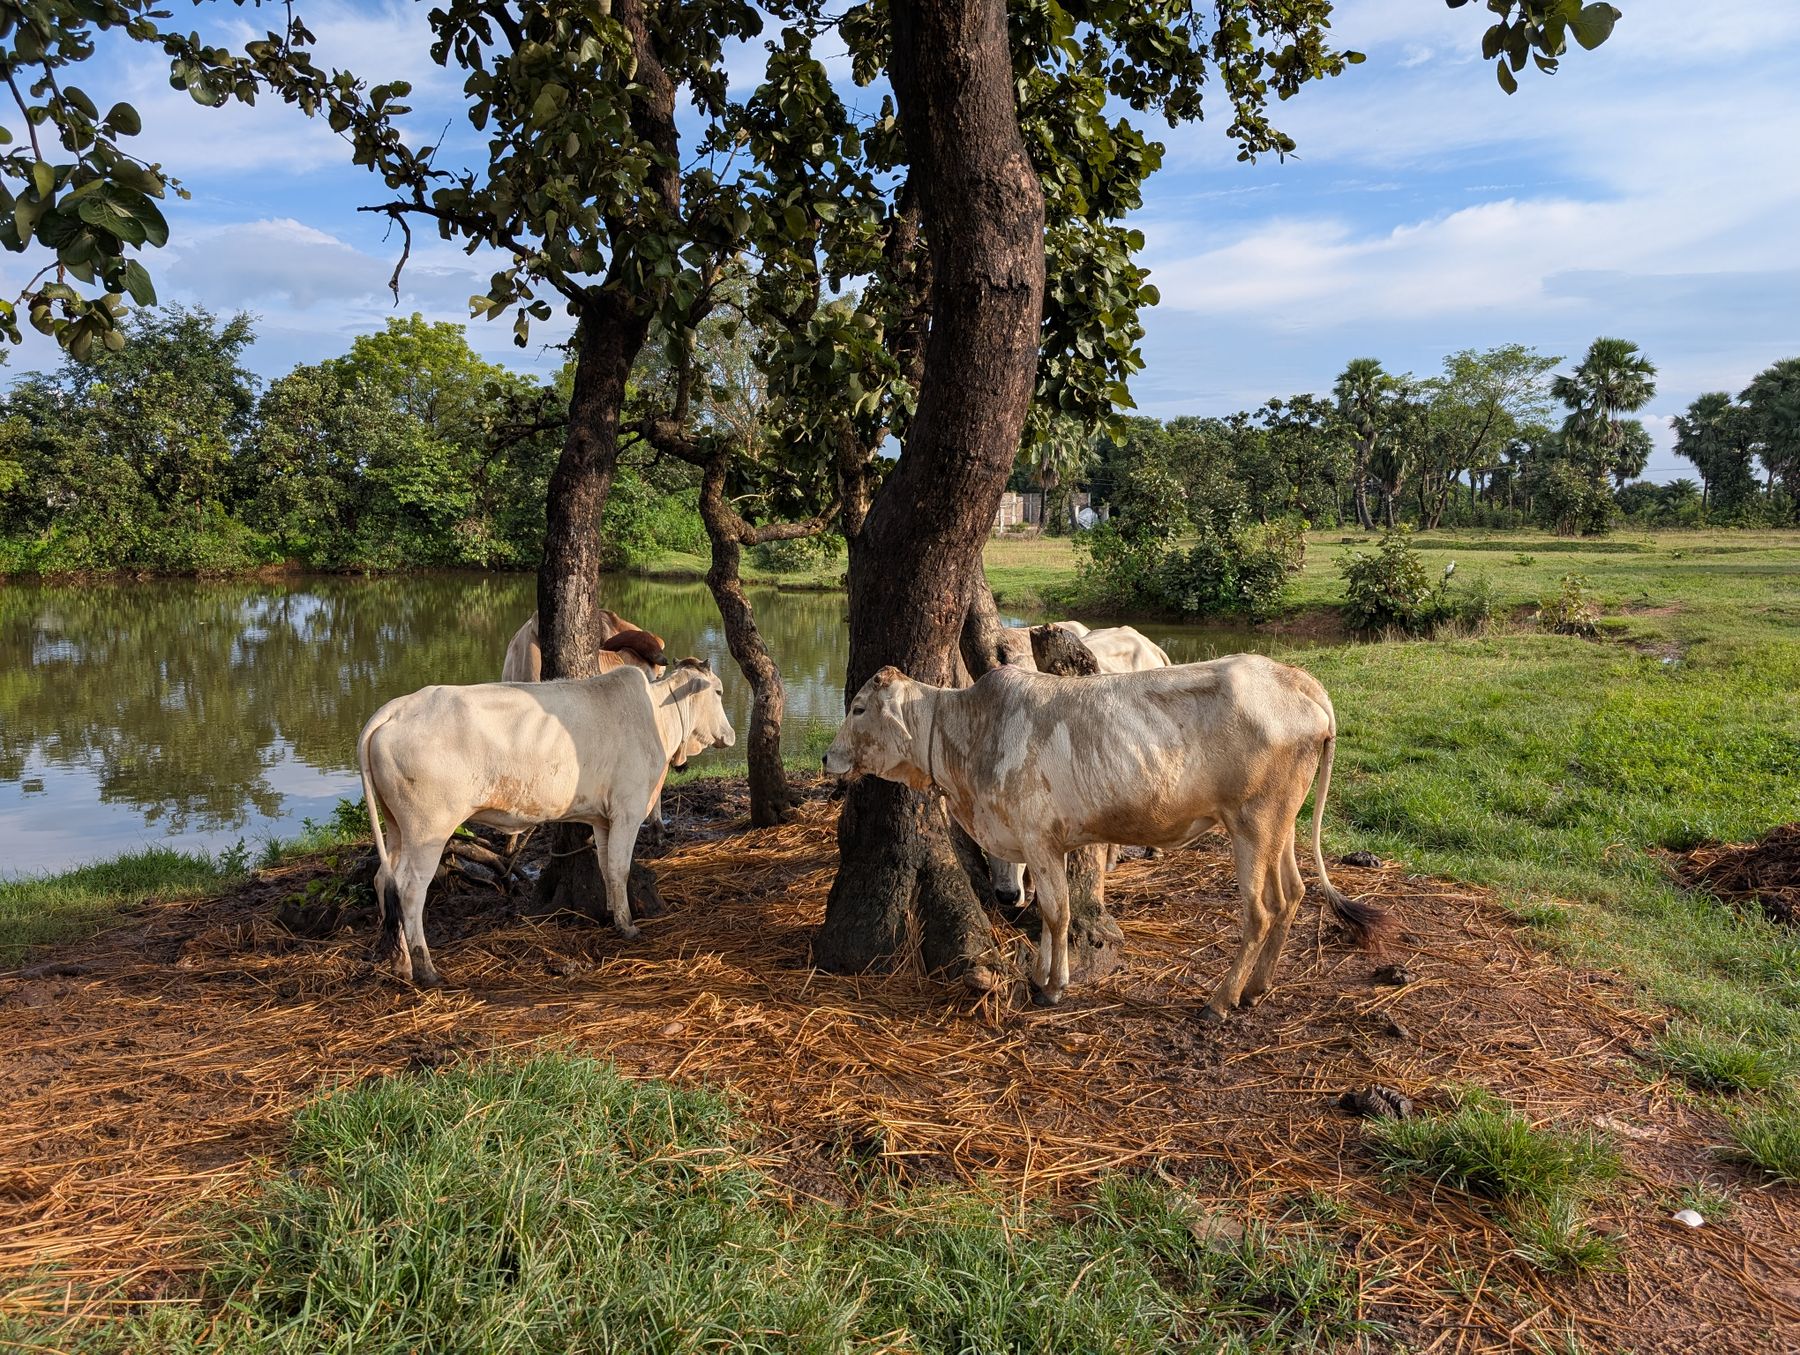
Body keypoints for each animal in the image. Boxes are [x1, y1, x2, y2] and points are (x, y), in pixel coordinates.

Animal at [358, 659, 735, 987]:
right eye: (718, 691)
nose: (730, 735)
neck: (658, 717)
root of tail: (396, 708)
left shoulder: (603, 818)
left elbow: (605, 865)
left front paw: (610, 914)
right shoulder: (628, 811)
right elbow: (620, 868)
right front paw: (627, 926)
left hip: (396, 827)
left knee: (385, 881)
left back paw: (401, 963)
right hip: (428, 829)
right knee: (410, 889)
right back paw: (426, 969)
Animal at [822, 656, 1391, 1019]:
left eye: (858, 708)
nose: (828, 757)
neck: (969, 734)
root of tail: (1298, 680)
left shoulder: (1038, 839)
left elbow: (1057, 913)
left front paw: (1052, 987)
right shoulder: (1043, 845)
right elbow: (1050, 915)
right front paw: (1043, 976)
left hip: (1253, 823)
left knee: (1260, 910)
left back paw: (1220, 1001)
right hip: (1280, 823)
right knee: (1292, 893)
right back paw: (1256, 989)